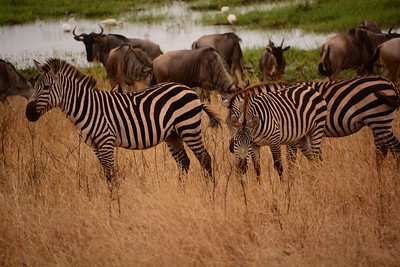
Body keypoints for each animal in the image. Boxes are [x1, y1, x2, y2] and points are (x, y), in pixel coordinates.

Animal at [25, 58, 222, 184]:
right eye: (35, 86)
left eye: (47, 87)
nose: (28, 114)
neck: (87, 107)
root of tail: (188, 89)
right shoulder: (95, 146)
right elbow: (106, 174)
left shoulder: (106, 142)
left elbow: (111, 174)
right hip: (173, 134)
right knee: (184, 163)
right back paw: (180, 191)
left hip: (188, 127)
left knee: (205, 158)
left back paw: (210, 190)